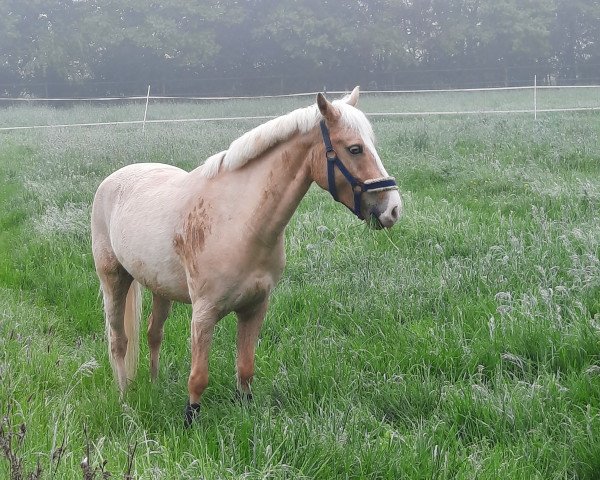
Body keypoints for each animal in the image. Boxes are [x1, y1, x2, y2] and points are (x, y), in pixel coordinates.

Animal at [91, 86, 404, 424]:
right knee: (118, 340)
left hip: (160, 288)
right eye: (355, 149)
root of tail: (114, 178)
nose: (393, 209)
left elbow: (245, 368)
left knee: (153, 334)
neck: (239, 221)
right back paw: (124, 398)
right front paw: (190, 420)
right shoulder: (204, 314)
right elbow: (198, 377)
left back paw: (154, 384)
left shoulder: (255, 307)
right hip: (114, 279)